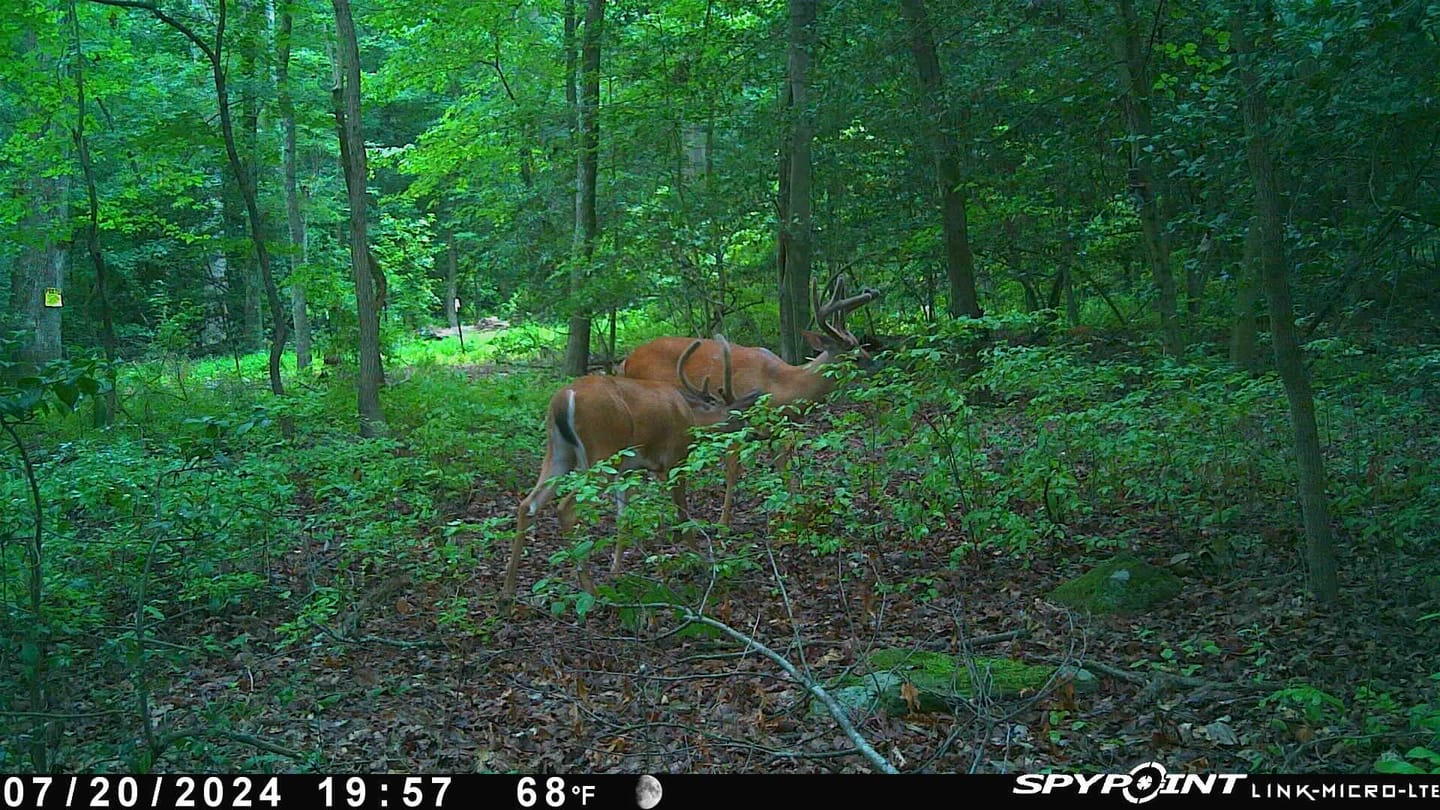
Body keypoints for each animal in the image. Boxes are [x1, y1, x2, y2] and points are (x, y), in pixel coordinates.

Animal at [503, 339, 759, 603]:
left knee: (528, 504)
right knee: (566, 508)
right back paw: (591, 591)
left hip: (559, 453)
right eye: (738, 417)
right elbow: (682, 513)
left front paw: (616, 570)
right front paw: (702, 562)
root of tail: (564, 399)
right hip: (600, 453)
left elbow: (623, 517)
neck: (692, 416)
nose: (753, 434)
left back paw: (508, 591)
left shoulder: (627, 471)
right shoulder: (675, 459)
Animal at [617, 276, 881, 526]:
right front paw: (723, 523)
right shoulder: (734, 422)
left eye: (861, 345)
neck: (780, 385)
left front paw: (794, 513)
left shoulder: (774, 431)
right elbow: (734, 471)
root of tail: (626, 361)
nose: (877, 365)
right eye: (852, 354)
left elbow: (784, 469)